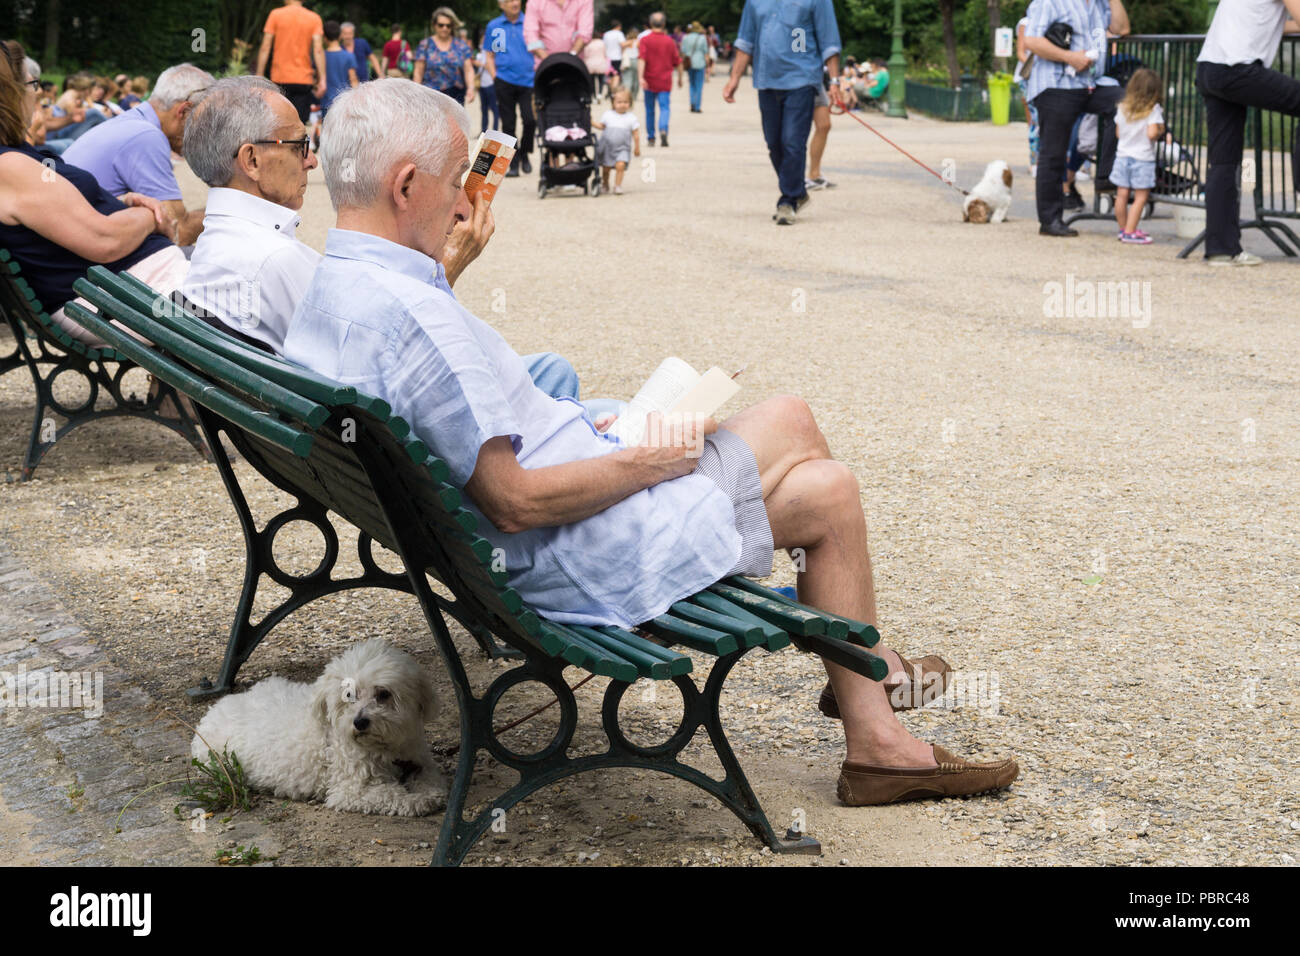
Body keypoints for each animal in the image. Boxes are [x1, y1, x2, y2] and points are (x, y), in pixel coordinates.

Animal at [191, 639, 447, 816]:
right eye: (348, 695)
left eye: (383, 694)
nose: (360, 722)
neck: (385, 747)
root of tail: (215, 710)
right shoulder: (351, 791)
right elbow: (390, 794)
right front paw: (416, 801)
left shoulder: (419, 761)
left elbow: (431, 779)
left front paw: (427, 792)